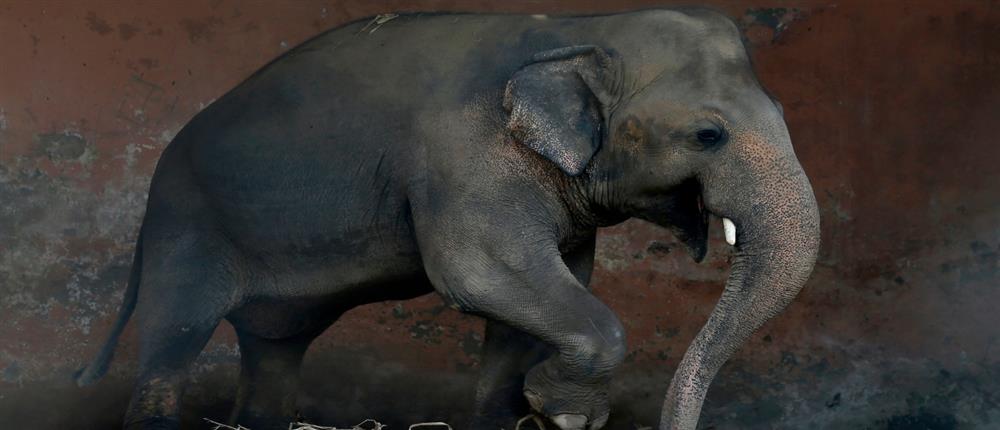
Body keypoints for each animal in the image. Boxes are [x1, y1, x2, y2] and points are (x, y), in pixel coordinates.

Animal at [78, 8, 820, 430]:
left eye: (788, 113)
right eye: (708, 135)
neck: (575, 30)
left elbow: (547, 286)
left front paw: (515, 413)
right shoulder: (463, 156)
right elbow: (482, 274)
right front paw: (566, 415)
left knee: (274, 346)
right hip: (184, 226)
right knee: (175, 335)